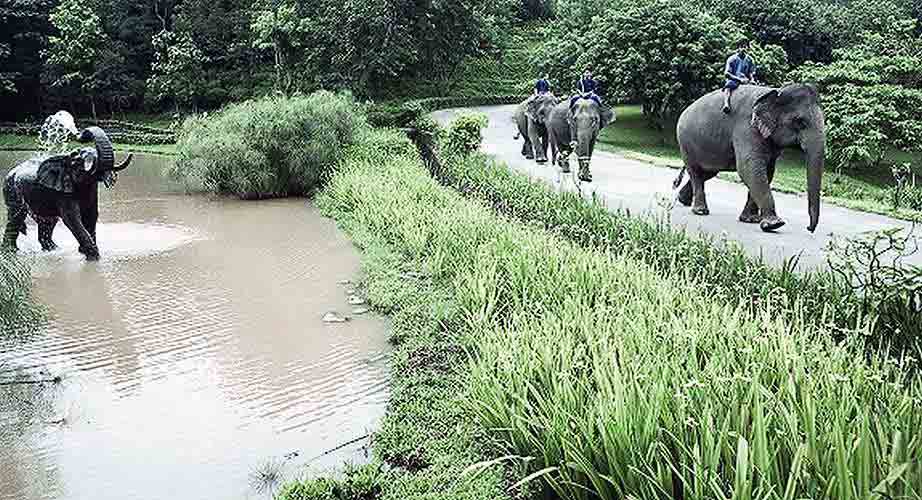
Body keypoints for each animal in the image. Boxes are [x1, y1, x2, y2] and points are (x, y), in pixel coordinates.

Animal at [2, 126, 134, 260]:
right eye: (78, 160)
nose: (80, 135)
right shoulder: (62, 191)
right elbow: (72, 218)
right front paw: (93, 257)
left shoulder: (91, 188)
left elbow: (91, 215)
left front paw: (84, 252)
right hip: (11, 189)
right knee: (16, 218)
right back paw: (11, 251)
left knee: (48, 222)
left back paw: (52, 249)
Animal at [674, 83, 826, 233]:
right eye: (800, 122)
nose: (809, 228)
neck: (776, 92)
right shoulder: (747, 128)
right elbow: (749, 168)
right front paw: (774, 224)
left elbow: (767, 171)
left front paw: (751, 220)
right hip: (685, 142)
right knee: (696, 172)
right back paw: (700, 211)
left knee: (707, 173)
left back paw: (683, 200)